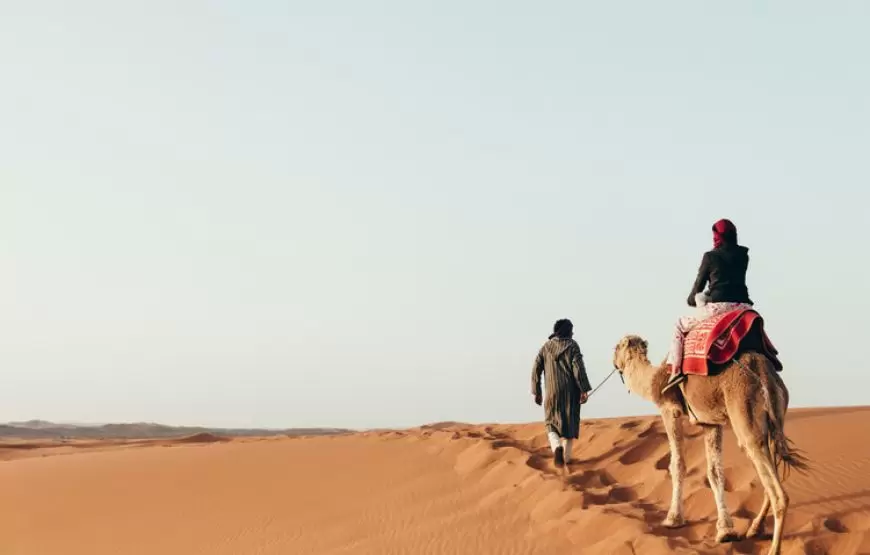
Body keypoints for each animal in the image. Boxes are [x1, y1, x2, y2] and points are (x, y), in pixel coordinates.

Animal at [612, 334, 812, 555]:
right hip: (775, 420)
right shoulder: (710, 422)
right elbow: (714, 472)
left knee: (778, 491)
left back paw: (773, 548)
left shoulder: (669, 410)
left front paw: (673, 519)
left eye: (616, 348)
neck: (653, 379)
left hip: (746, 419)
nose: (614, 363)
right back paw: (754, 528)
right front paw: (726, 530)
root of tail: (765, 375)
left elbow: (677, 464)